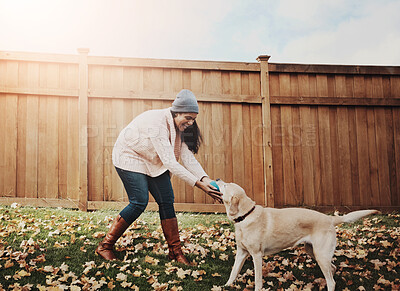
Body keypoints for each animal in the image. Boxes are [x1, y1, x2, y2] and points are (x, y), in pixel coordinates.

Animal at [217, 180, 380, 291]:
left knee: (332, 281)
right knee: (332, 270)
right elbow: (233, 272)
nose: (218, 178)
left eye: (226, 185)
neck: (245, 216)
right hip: (313, 251)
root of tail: (330, 218)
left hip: (320, 254)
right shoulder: (241, 253)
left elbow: (257, 280)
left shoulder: (256, 255)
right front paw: (226, 286)